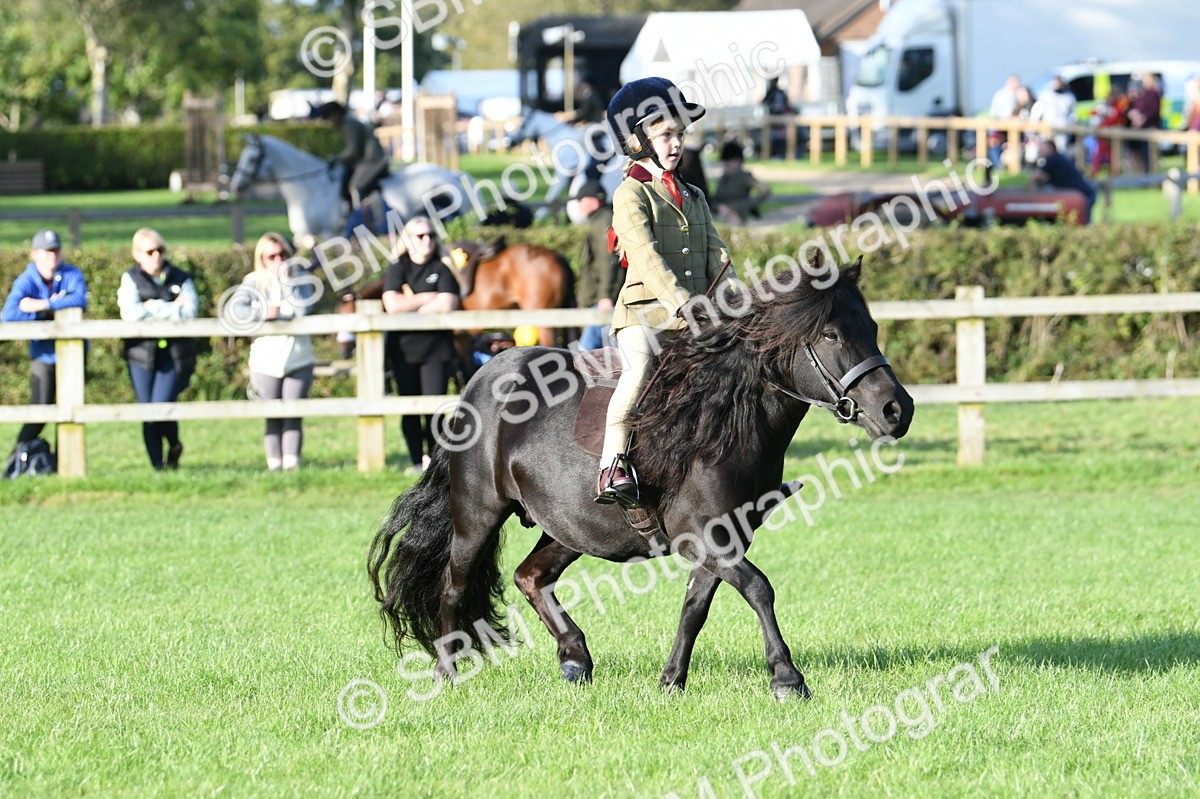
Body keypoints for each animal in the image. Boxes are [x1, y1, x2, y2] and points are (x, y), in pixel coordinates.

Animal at [229, 133, 476, 244]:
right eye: (242, 156)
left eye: (253, 159)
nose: (236, 186)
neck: (309, 190)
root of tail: (453, 175)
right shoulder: (302, 236)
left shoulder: (329, 234)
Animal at [368, 253, 914, 699]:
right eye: (831, 334)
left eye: (872, 328)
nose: (897, 411)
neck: (721, 415)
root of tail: (479, 380)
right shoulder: (706, 537)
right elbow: (760, 588)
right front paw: (787, 678)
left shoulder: (724, 537)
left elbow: (696, 606)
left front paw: (671, 680)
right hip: (477, 514)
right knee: (454, 586)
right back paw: (446, 674)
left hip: (569, 528)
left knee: (531, 576)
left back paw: (575, 658)